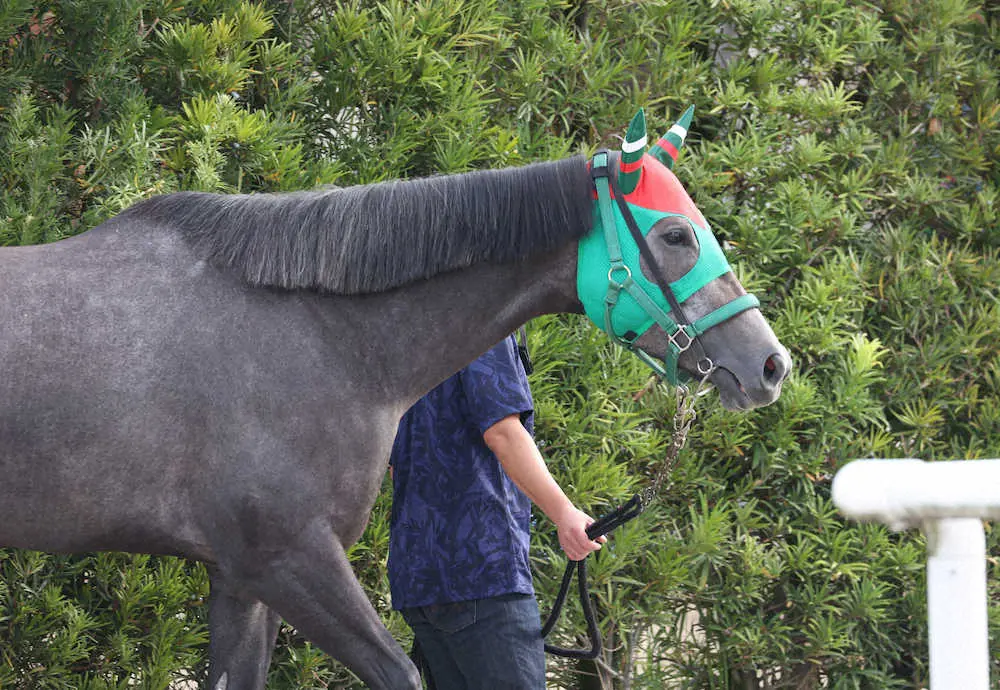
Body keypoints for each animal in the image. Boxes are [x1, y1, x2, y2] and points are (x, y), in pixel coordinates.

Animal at [1, 114, 788, 688]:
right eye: (676, 234)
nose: (770, 364)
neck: (316, 334)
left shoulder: (241, 581)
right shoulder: (287, 561)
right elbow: (402, 674)